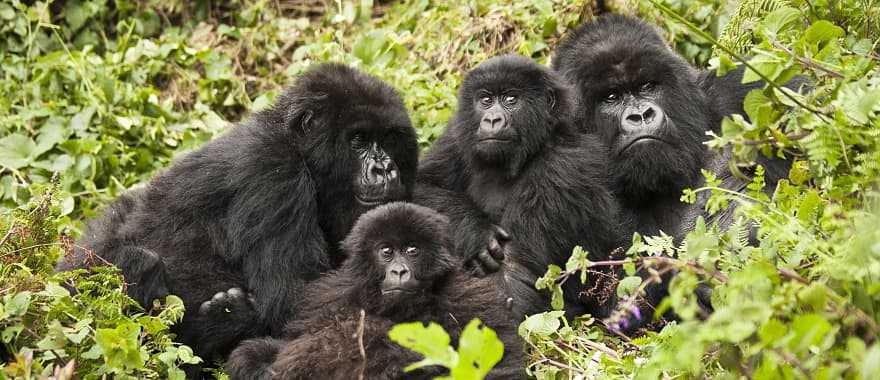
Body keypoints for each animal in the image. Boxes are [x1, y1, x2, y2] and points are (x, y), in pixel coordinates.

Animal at [55, 64, 420, 366]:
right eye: (359, 139)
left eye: (389, 139)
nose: (384, 168)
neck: (298, 148)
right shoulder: (272, 172)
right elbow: (293, 300)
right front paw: (227, 318)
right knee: (139, 261)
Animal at [223, 203, 524, 380]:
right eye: (386, 251)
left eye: (412, 250)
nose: (399, 272)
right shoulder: (328, 296)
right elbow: (284, 345)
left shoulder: (468, 299)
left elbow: (500, 362)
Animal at [414, 54, 624, 318]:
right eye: (486, 100)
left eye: (510, 99)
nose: (492, 119)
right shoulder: (457, 134)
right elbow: (421, 186)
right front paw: (475, 231)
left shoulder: (563, 165)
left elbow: (513, 275)